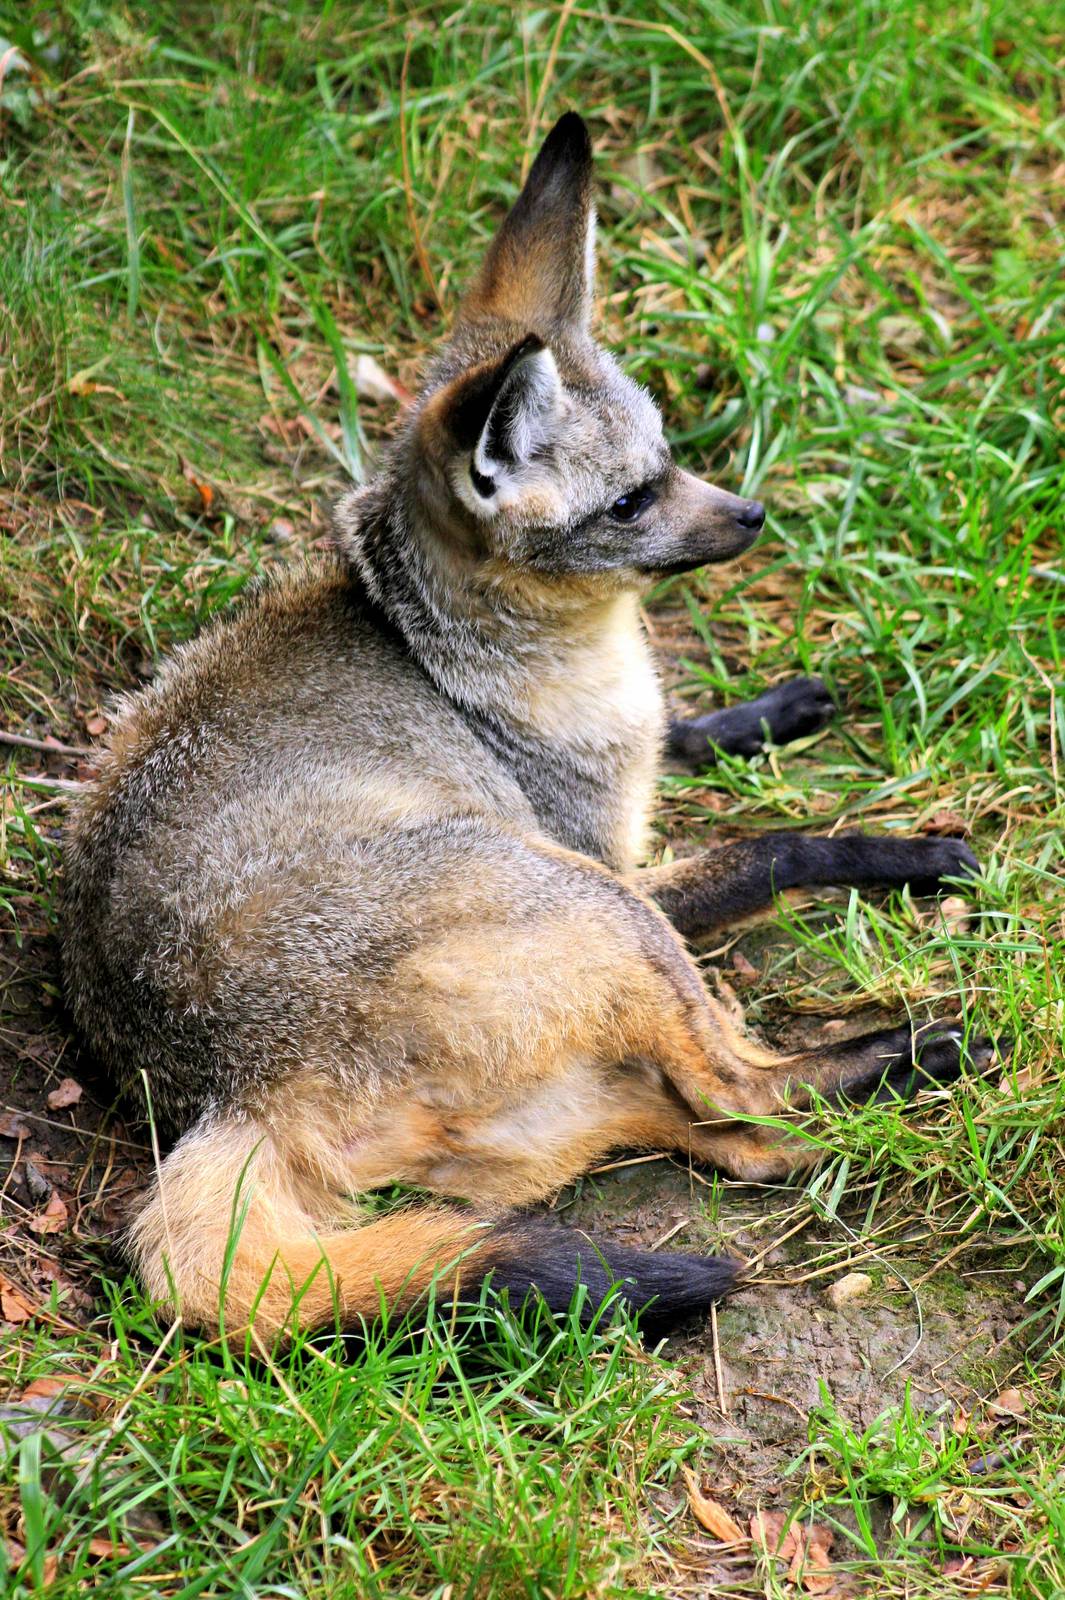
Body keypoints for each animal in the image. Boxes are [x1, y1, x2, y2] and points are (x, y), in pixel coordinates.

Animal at [60, 113, 992, 1343]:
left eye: (671, 457)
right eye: (630, 504)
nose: (753, 515)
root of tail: (232, 1091)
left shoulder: (630, 777)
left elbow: (685, 735)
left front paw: (774, 709)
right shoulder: (614, 858)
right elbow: (772, 848)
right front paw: (903, 852)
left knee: (735, 1143)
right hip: (595, 911)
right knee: (743, 1098)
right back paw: (911, 1052)